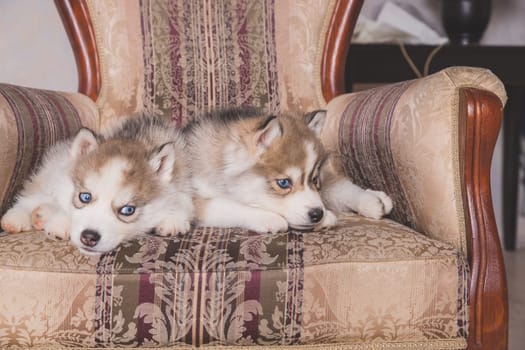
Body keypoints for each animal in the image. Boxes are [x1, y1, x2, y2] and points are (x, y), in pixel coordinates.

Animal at [1, 116, 193, 256]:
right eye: (85, 197)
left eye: (128, 210)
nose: (89, 237)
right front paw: (60, 223)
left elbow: (184, 198)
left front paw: (173, 219)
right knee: (36, 193)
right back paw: (18, 217)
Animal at [184, 106, 392, 232]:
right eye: (284, 183)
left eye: (315, 180)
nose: (317, 214)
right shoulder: (195, 200)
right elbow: (228, 205)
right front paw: (269, 218)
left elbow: (337, 188)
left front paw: (368, 200)